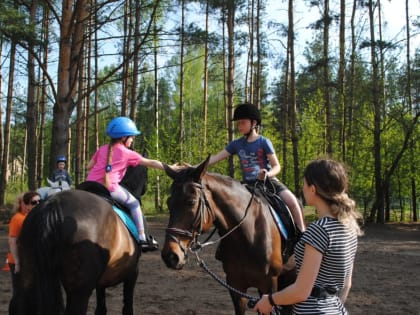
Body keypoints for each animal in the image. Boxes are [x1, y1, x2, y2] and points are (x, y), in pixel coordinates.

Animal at [15, 165, 148, 315]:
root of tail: (53, 204)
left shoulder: (101, 280)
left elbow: (101, 306)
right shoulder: (132, 272)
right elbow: (127, 305)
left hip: (29, 277)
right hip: (79, 290)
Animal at [161, 157, 296, 314]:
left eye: (191, 202)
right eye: (169, 203)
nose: (170, 256)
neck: (248, 236)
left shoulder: (269, 286)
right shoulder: (235, 286)